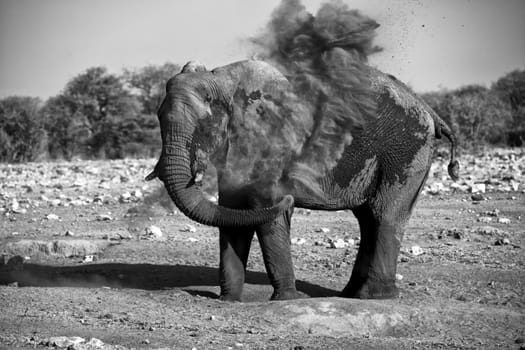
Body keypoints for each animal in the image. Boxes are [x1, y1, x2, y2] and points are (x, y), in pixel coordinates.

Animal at [145, 58, 456, 302]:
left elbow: (264, 209)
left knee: (384, 214)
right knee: (368, 219)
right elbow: (232, 212)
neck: (222, 80)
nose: (291, 195)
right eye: (158, 117)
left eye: (205, 127)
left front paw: (285, 300)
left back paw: (374, 297)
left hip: (404, 151)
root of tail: (427, 107)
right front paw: (229, 301)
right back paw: (351, 294)